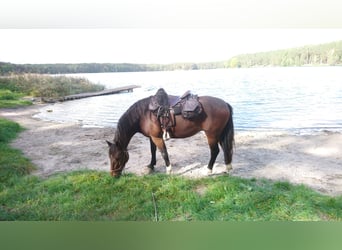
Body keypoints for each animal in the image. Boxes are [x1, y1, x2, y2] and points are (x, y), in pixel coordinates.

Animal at [106, 89, 235, 177]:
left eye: (117, 157)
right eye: (109, 156)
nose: (113, 175)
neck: (145, 114)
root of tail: (225, 104)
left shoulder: (157, 138)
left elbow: (163, 152)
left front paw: (169, 170)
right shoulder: (152, 137)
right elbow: (153, 151)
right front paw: (151, 166)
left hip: (211, 135)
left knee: (215, 151)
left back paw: (208, 170)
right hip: (219, 134)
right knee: (225, 149)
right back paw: (227, 167)